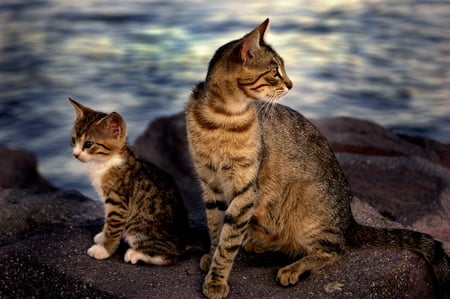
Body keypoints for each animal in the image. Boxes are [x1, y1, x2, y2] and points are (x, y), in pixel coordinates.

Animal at [68, 99, 192, 266]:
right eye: (73, 140)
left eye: (88, 144)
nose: (75, 154)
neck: (105, 162)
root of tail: (185, 241)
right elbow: (108, 221)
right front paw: (102, 236)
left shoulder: (118, 201)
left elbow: (113, 226)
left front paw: (104, 249)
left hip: (139, 228)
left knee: (170, 256)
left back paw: (135, 254)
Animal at [185, 18, 448, 299]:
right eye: (274, 71)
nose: (291, 84)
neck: (221, 118)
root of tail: (349, 221)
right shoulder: (210, 183)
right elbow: (216, 229)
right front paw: (212, 257)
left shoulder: (245, 188)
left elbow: (228, 240)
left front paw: (216, 279)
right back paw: (258, 244)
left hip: (306, 205)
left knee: (334, 249)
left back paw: (293, 268)